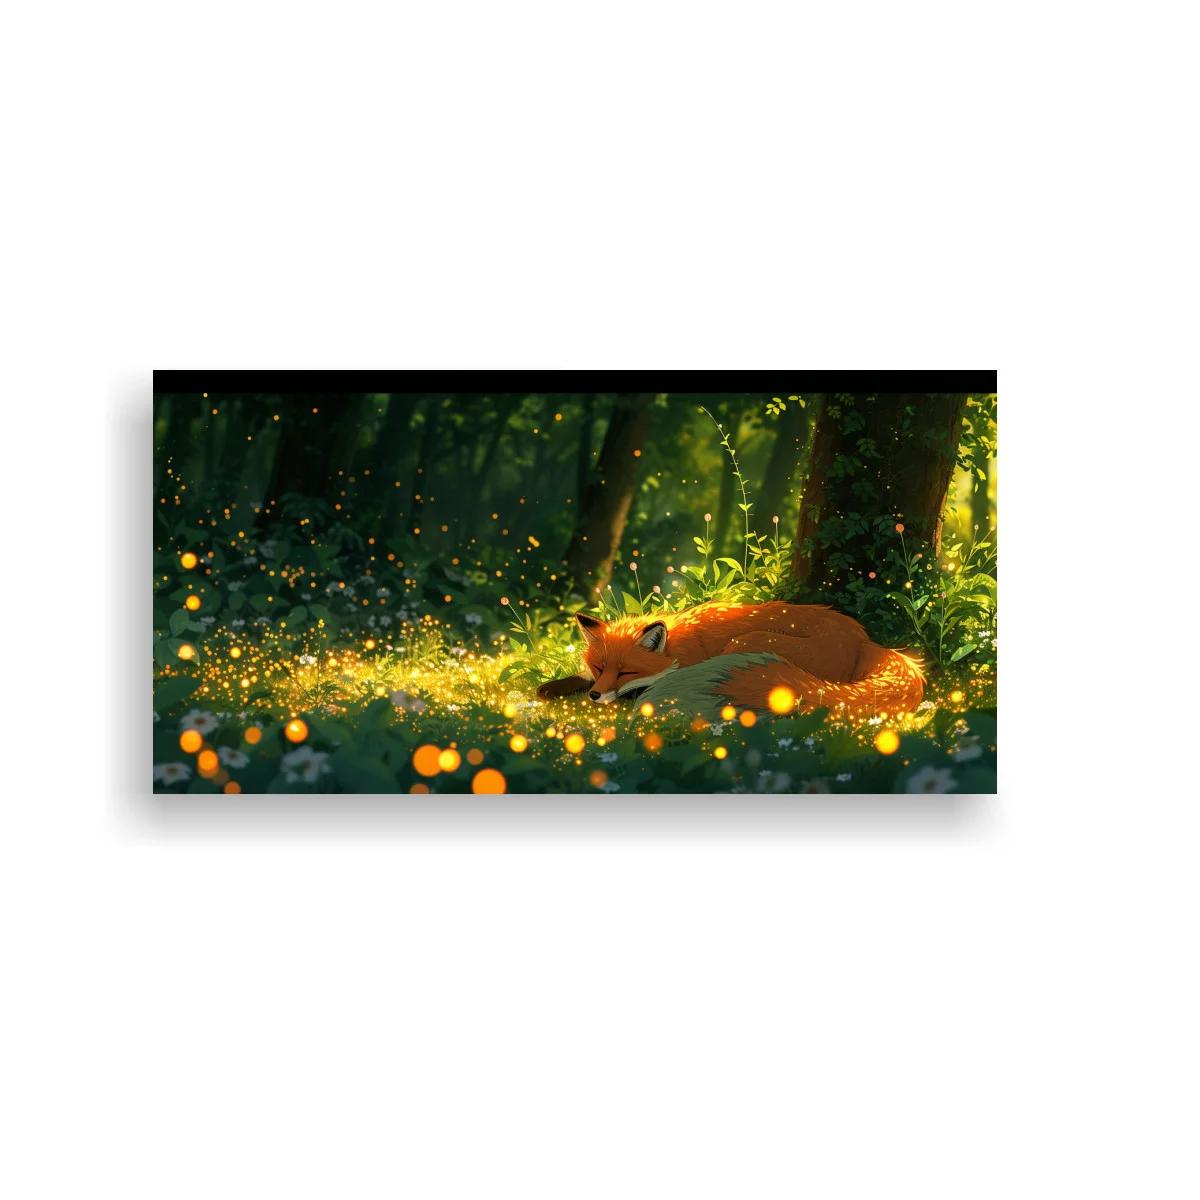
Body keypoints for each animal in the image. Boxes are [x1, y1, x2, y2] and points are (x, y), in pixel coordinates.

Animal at [536, 601, 924, 717]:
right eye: (600, 667)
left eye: (626, 671)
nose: (594, 697)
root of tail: (863, 640)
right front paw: (551, 687)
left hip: (745, 642)